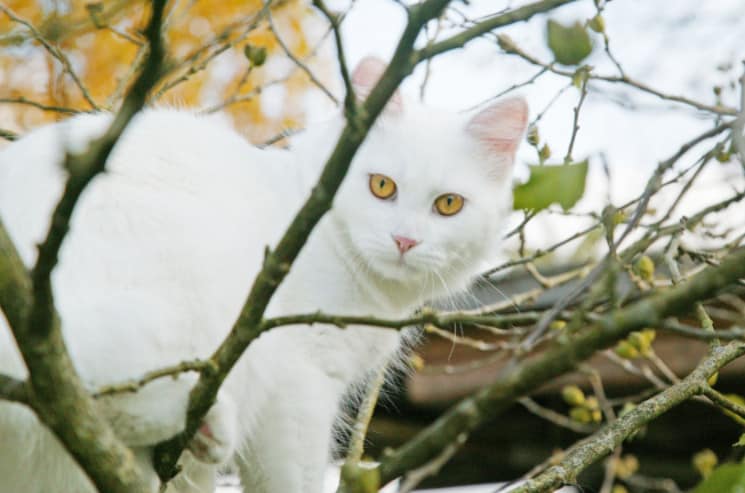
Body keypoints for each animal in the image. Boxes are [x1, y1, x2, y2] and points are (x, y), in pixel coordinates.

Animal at [0, 58, 528, 492]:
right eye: (381, 186)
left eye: (448, 205)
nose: (405, 240)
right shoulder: (300, 382)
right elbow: (291, 477)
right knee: (73, 394)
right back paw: (202, 421)